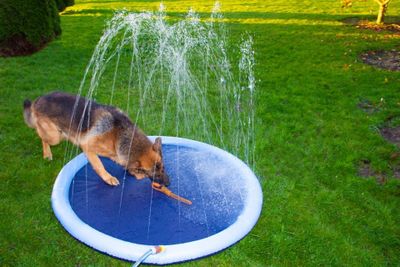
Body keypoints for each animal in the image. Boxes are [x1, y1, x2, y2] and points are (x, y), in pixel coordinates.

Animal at [23, 91, 170, 187]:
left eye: (163, 168)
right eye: (154, 174)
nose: (168, 184)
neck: (119, 134)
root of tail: (38, 99)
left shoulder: (115, 154)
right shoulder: (88, 147)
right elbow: (99, 166)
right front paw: (108, 178)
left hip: (61, 133)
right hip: (54, 137)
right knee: (41, 134)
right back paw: (47, 153)